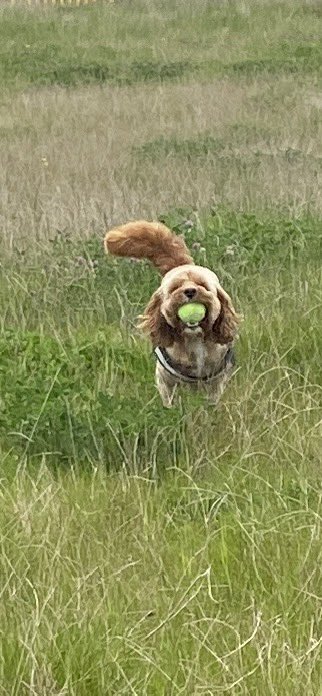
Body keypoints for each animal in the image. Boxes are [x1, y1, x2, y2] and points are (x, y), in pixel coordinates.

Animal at [104, 219, 240, 408]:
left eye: (202, 285)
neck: (194, 340)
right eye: (175, 288)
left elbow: (213, 397)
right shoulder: (165, 379)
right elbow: (170, 399)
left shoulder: (216, 380)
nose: (190, 291)